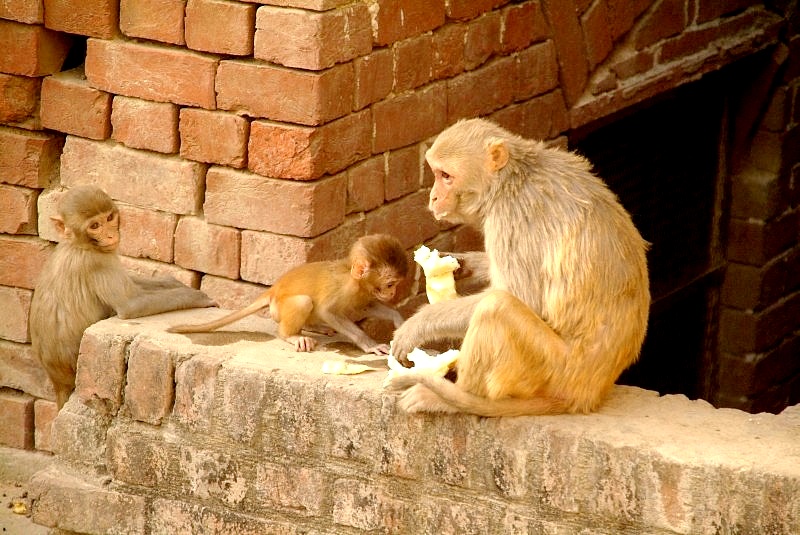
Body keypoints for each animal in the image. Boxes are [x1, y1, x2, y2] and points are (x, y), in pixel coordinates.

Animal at [29, 186, 216, 408]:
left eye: (109, 218)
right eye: (95, 226)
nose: (110, 236)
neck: (76, 244)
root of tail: (58, 381)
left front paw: (172, 282)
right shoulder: (97, 262)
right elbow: (131, 305)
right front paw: (196, 296)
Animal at [167, 236, 406, 356]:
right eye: (390, 284)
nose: (393, 292)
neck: (351, 276)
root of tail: (273, 290)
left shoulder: (362, 292)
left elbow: (364, 306)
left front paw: (400, 322)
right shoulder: (343, 288)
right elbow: (327, 310)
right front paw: (370, 344)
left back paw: (313, 327)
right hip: (280, 308)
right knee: (304, 302)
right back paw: (291, 335)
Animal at [390, 118, 652, 418]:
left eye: (446, 176)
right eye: (435, 173)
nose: (433, 197)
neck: (510, 180)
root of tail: (586, 393)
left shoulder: (512, 216)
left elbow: (522, 297)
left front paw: (418, 323)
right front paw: (461, 265)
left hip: (554, 369)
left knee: (496, 307)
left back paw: (454, 398)